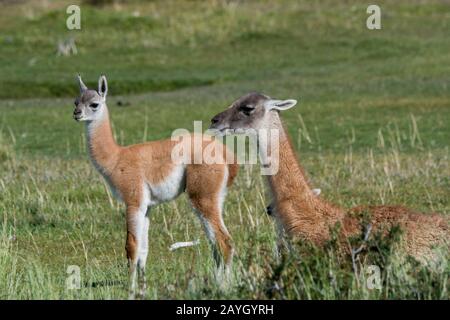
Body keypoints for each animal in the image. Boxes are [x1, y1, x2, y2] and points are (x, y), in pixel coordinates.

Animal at [73, 75, 239, 298]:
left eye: (94, 104)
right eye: (75, 101)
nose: (76, 113)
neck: (116, 159)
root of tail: (225, 153)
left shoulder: (133, 200)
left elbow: (131, 247)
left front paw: (130, 291)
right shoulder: (147, 206)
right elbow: (143, 250)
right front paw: (142, 290)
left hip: (202, 194)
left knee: (224, 241)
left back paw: (223, 287)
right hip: (215, 195)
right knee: (215, 242)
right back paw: (216, 283)